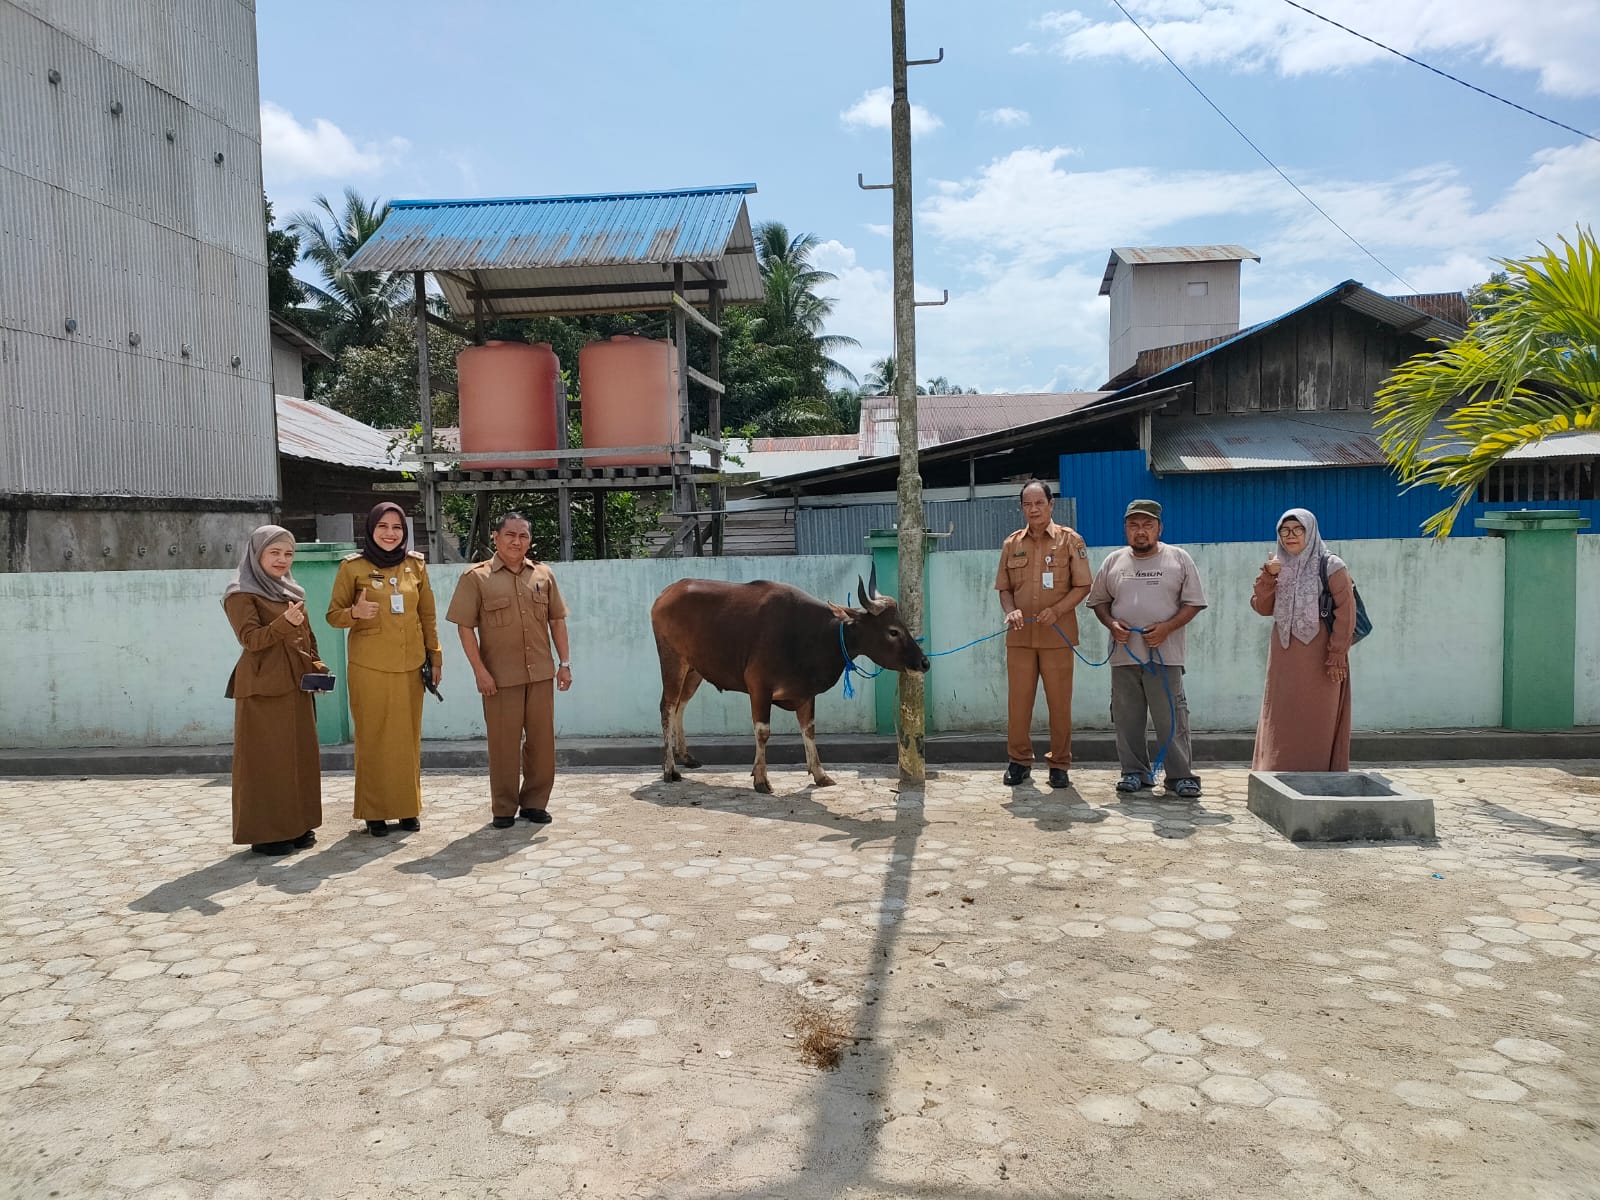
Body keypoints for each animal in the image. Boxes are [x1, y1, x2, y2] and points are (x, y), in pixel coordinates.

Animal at [646, 569, 928, 793]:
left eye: (903, 625)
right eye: (893, 631)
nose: (924, 663)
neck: (812, 635)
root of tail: (665, 594)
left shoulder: (805, 694)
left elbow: (809, 730)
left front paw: (820, 774)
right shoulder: (759, 687)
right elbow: (763, 731)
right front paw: (760, 779)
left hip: (694, 670)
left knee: (680, 707)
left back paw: (685, 757)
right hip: (673, 662)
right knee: (667, 707)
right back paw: (670, 769)